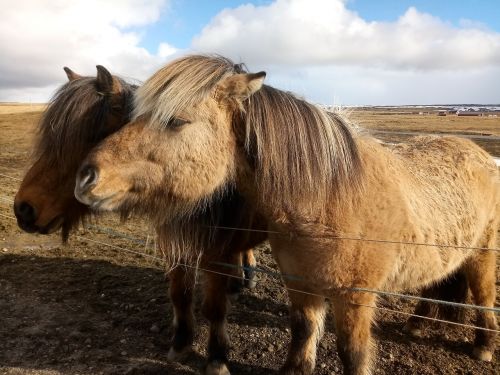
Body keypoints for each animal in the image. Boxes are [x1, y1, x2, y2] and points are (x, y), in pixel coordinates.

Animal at [11, 64, 264, 374]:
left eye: (88, 135)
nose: (23, 208)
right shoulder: (174, 244)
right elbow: (179, 293)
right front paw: (181, 342)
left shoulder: (216, 252)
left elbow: (215, 307)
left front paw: (217, 357)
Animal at [75, 55, 500, 375]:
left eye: (176, 120)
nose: (86, 176)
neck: (327, 197)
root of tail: (481, 154)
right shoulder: (300, 283)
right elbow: (303, 329)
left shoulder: (354, 298)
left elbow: (352, 353)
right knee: (437, 284)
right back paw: (420, 322)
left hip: (482, 257)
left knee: (483, 298)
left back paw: (483, 345)